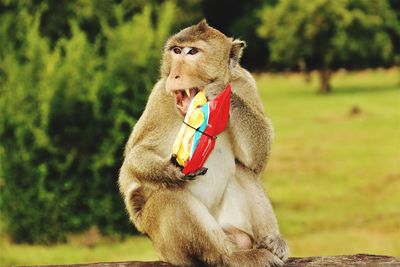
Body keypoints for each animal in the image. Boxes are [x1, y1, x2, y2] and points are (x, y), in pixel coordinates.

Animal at [117, 19, 290, 266]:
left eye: (192, 52)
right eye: (176, 50)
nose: (175, 75)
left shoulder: (246, 83)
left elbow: (257, 160)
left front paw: (222, 93)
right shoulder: (159, 96)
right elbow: (133, 161)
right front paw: (169, 170)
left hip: (230, 225)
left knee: (242, 170)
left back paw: (271, 241)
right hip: (169, 245)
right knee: (169, 196)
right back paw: (232, 256)